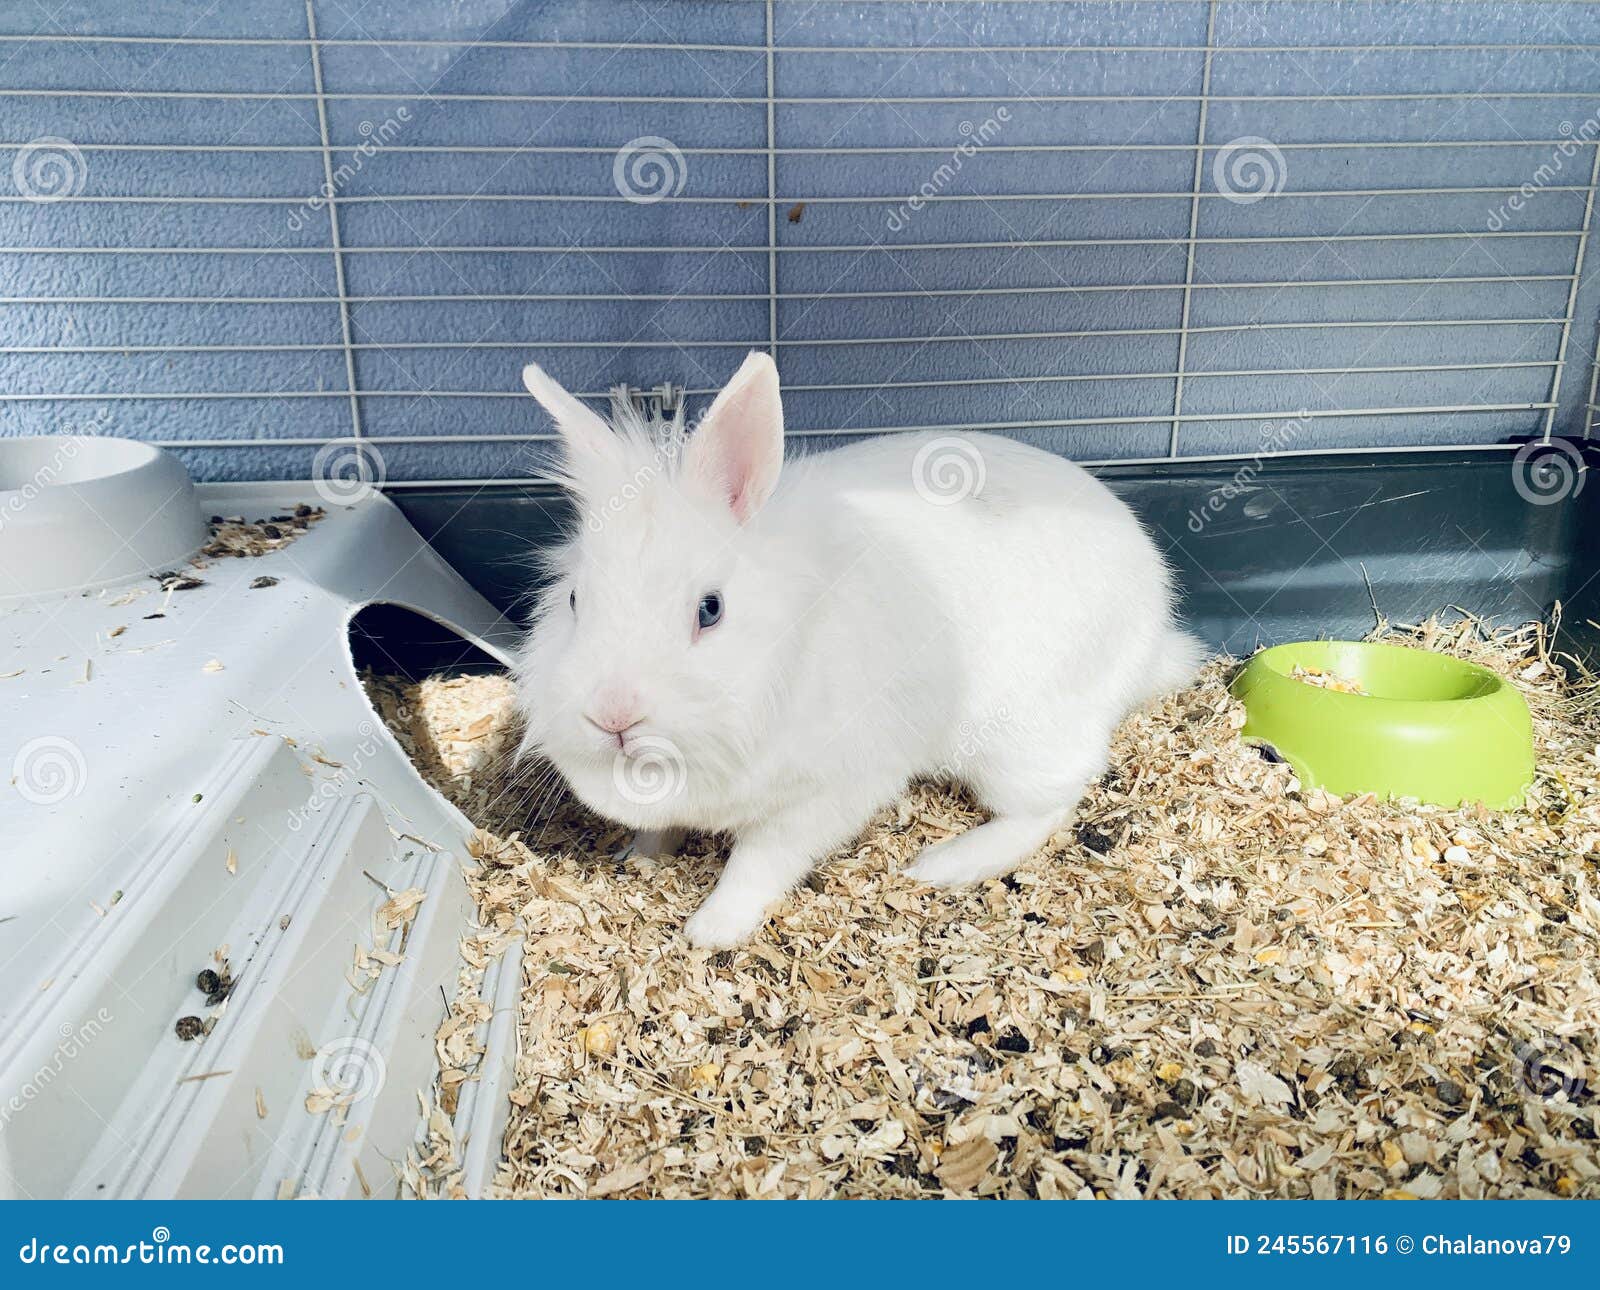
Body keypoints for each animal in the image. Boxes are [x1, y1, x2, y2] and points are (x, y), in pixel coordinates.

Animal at [513, 351, 1205, 949]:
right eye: (574, 600)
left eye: (710, 609)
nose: (613, 714)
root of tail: (1153, 628)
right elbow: (658, 829)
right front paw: (638, 858)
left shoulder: (822, 798)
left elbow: (760, 863)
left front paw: (711, 930)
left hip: (1022, 736)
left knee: (1051, 803)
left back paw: (942, 865)